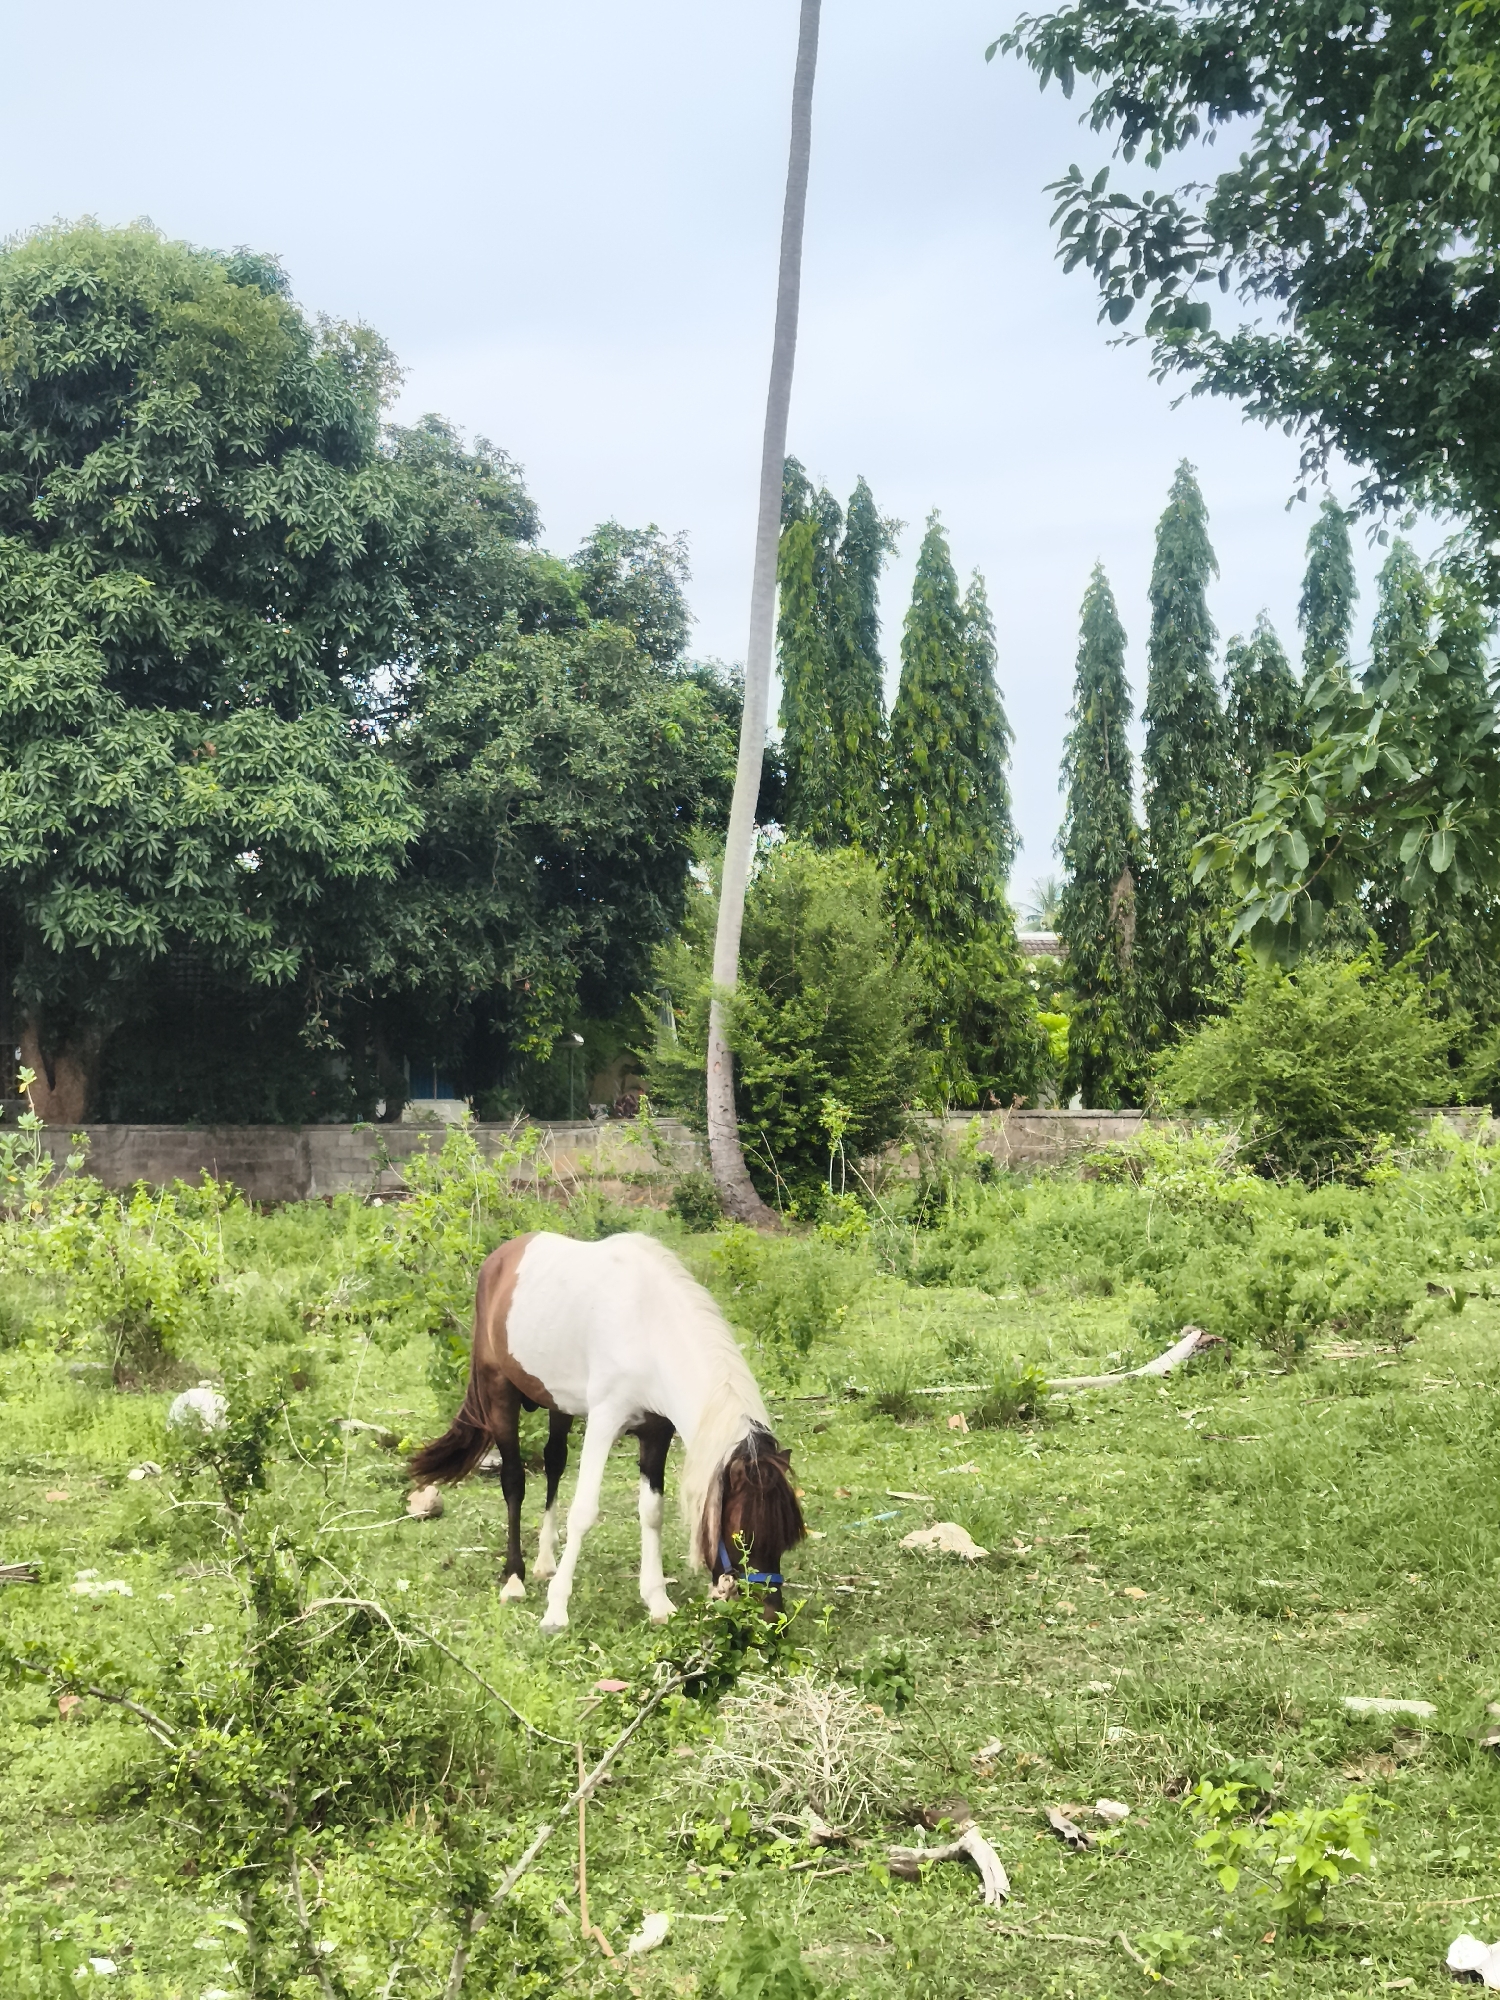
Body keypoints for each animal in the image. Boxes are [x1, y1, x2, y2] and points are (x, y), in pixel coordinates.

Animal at [409, 1231, 805, 1633]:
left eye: (786, 1538)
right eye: (744, 1535)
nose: (772, 1619)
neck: (649, 1328)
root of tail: (500, 1258)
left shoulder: (656, 1433)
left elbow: (651, 1511)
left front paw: (657, 1600)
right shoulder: (603, 1421)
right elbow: (583, 1511)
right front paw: (556, 1610)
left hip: (558, 1403)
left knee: (554, 1465)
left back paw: (545, 1562)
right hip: (499, 1392)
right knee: (513, 1482)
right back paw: (514, 1578)